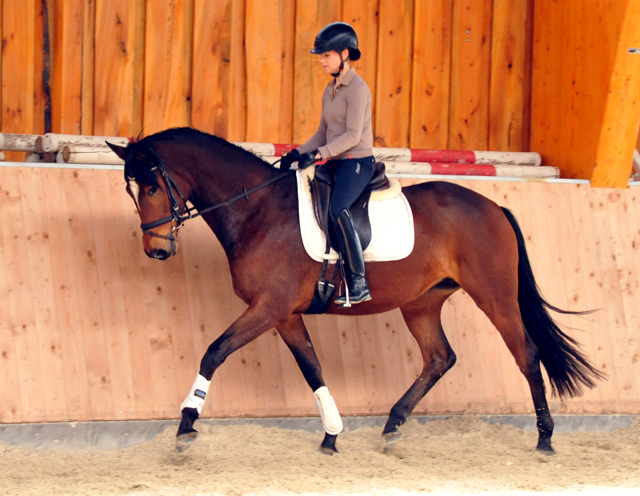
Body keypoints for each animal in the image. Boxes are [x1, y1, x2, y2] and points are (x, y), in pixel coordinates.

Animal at [107, 129, 604, 458]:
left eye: (151, 185)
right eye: (132, 191)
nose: (156, 250)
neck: (259, 210)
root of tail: (493, 205)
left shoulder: (267, 307)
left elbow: (214, 351)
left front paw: (187, 423)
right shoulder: (284, 314)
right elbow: (312, 368)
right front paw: (331, 434)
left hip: (494, 296)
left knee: (526, 354)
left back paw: (545, 437)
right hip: (421, 302)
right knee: (440, 357)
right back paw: (393, 424)